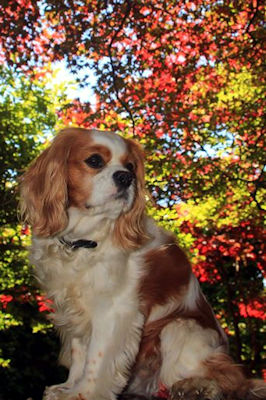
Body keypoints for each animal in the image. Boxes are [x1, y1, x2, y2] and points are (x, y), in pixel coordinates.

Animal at [20, 128, 266, 400]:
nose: (125, 177)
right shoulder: (74, 308)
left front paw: (83, 393)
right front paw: (68, 386)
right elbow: (79, 354)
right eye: (94, 161)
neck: (83, 240)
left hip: (179, 328)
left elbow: (96, 359)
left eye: (130, 166)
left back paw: (196, 386)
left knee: (229, 380)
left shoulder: (114, 312)